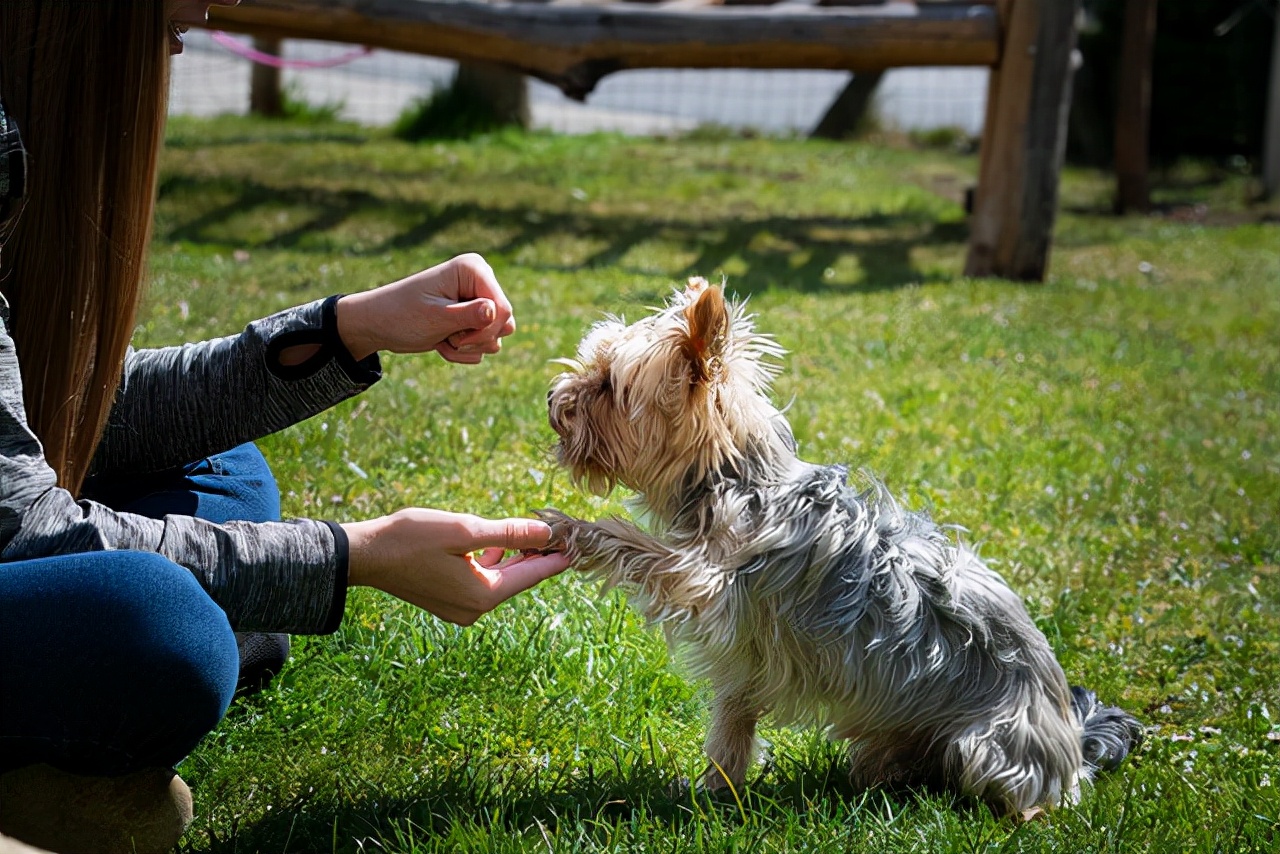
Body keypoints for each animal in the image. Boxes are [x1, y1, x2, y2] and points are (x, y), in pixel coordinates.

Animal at [540, 279, 1141, 814]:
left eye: (608, 385)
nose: (551, 398)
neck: (738, 478)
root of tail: (1074, 743)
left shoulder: (707, 580)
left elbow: (638, 547)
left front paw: (572, 529)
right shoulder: (747, 653)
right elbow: (733, 721)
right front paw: (715, 790)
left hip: (990, 745)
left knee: (1022, 797)